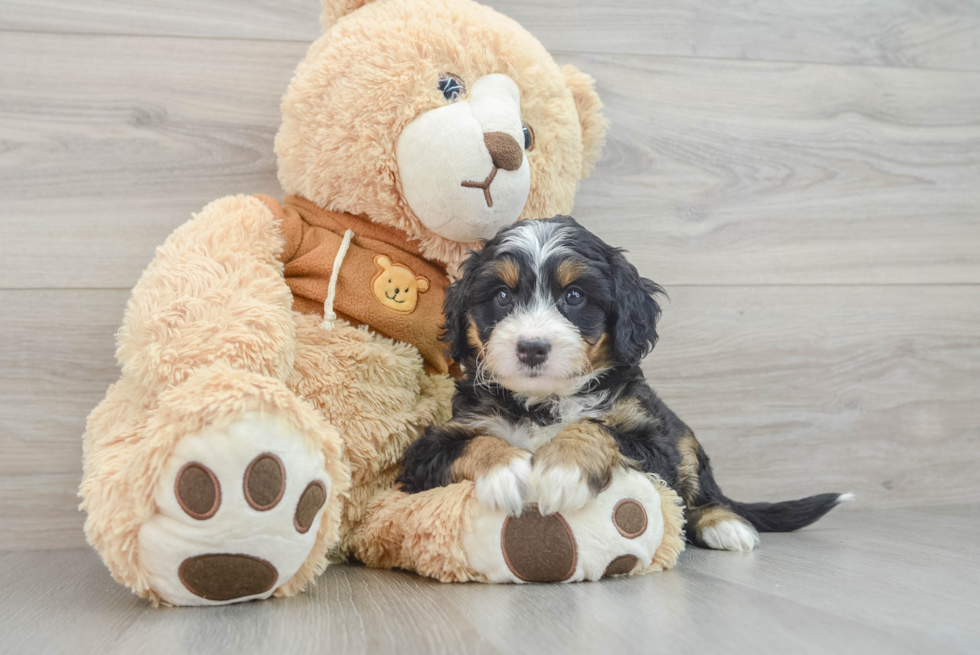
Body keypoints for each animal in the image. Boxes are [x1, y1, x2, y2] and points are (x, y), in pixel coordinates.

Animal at [398, 218, 848, 552]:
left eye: (574, 296)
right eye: (503, 296)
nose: (531, 348)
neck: (545, 400)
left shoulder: (655, 444)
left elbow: (596, 427)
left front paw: (563, 469)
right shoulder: (429, 450)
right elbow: (473, 442)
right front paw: (507, 467)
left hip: (683, 439)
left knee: (700, 495)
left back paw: (724, 525)